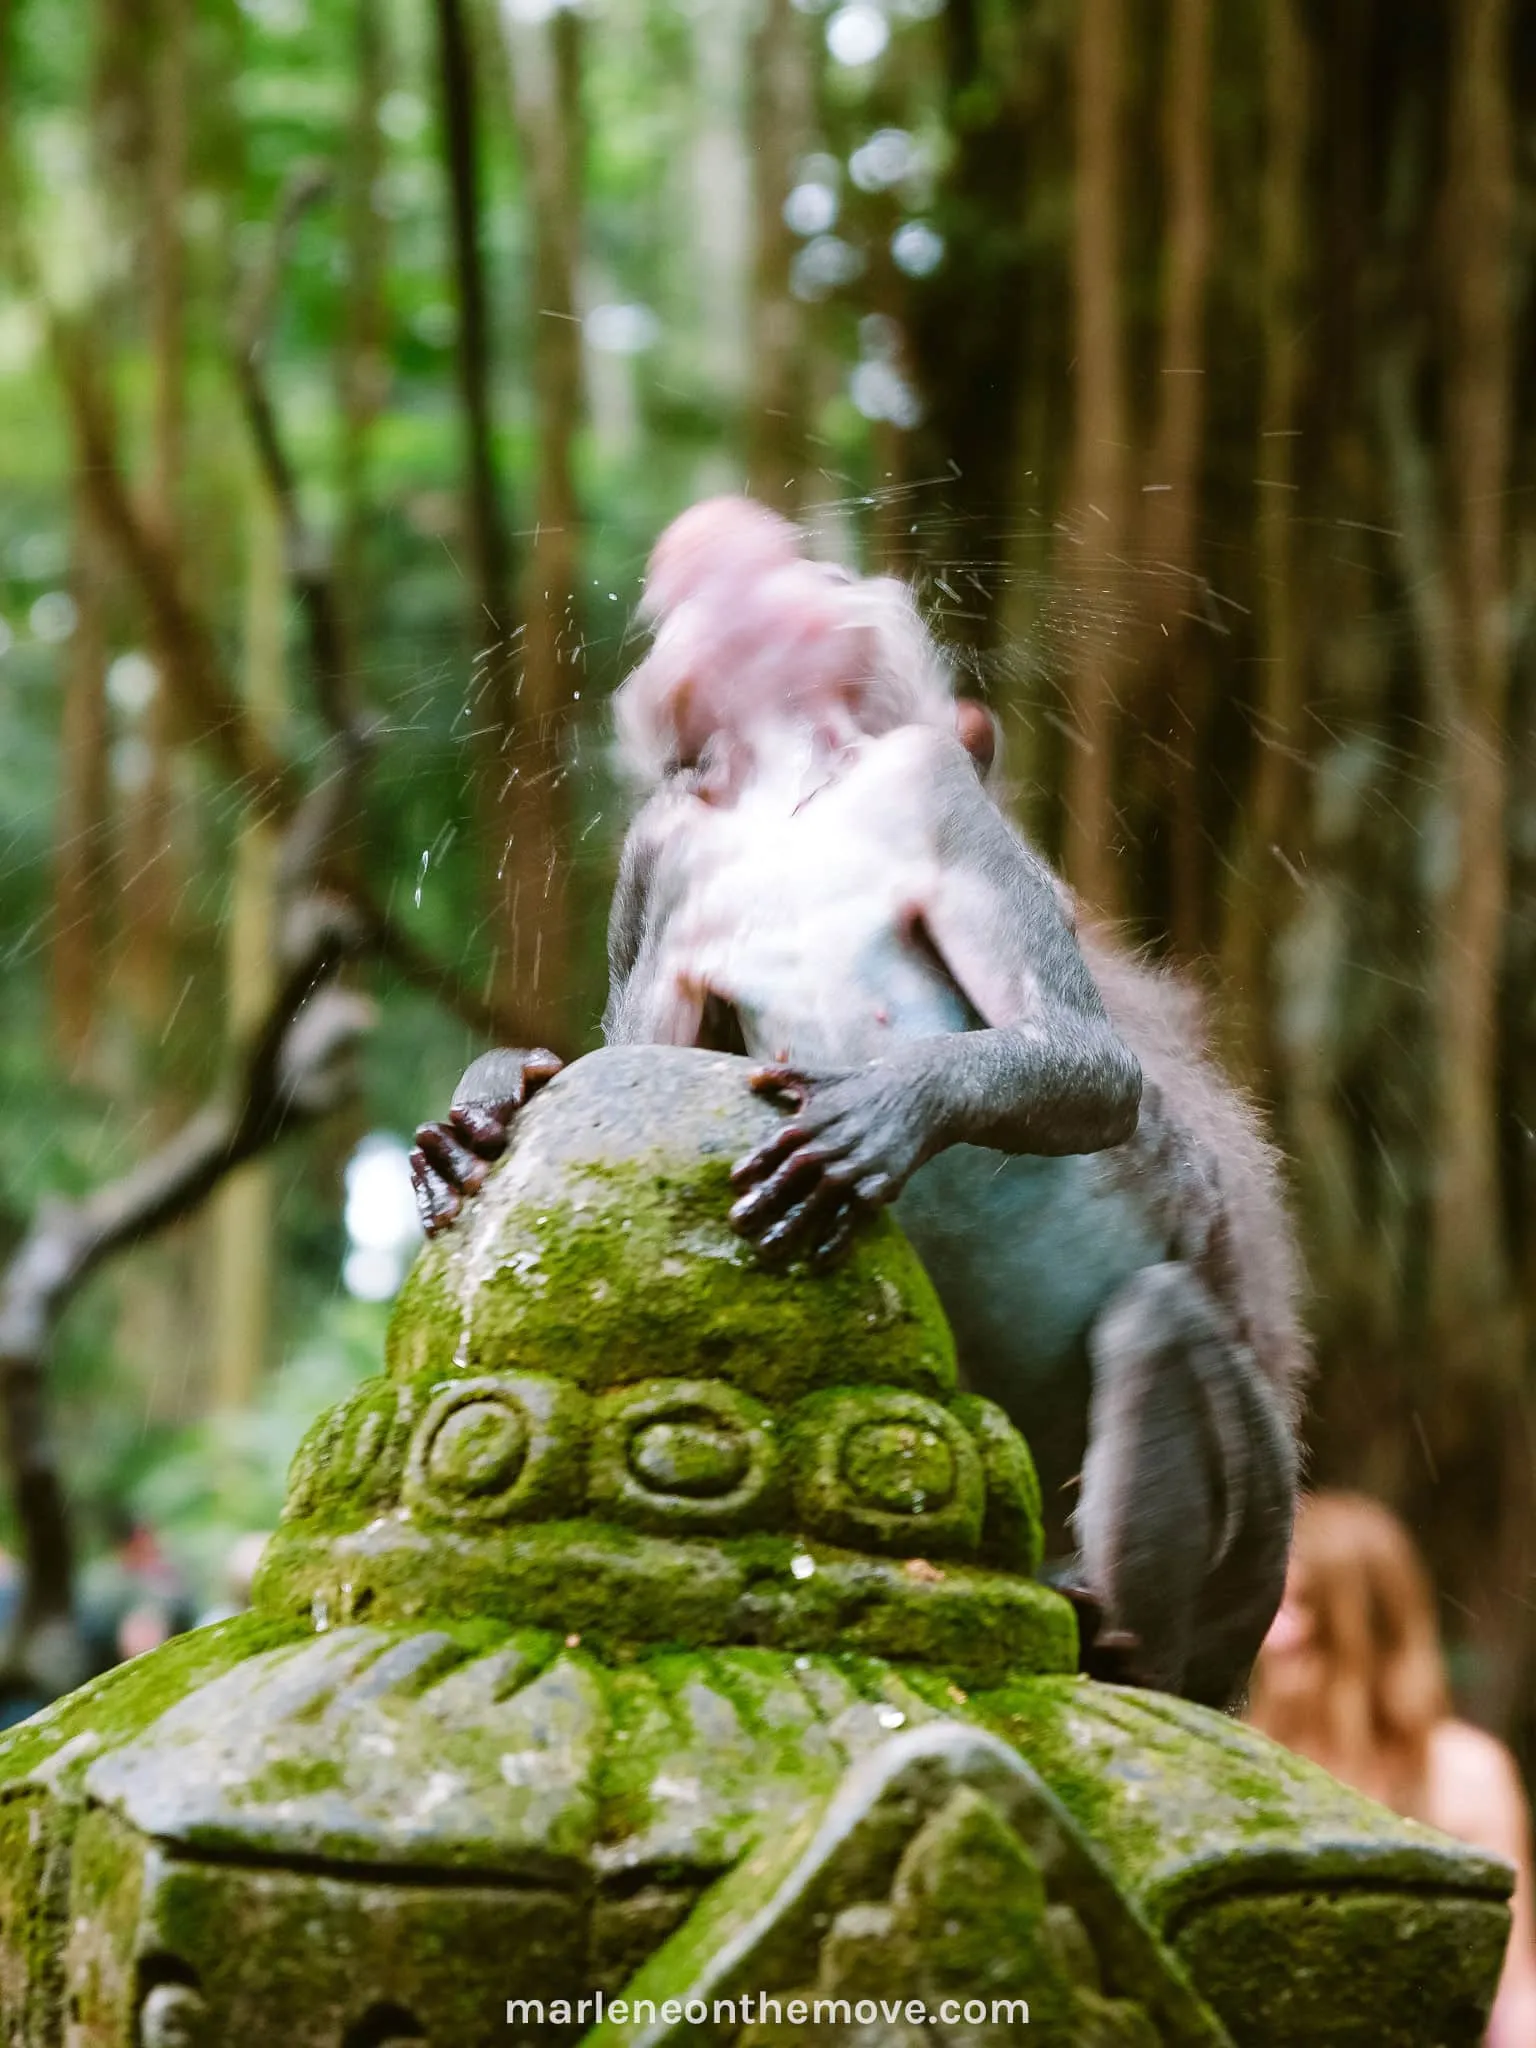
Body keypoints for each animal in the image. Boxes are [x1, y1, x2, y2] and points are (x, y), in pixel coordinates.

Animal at [412, 496, 1306, 1710]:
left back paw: (1131, 1651)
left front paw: (887, 1109)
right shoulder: (666, 847)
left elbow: (1095, 1067)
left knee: (1155, 1321)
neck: (784, 795)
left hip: (1257, 1546)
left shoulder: (928, 782)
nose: (713, 526)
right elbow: (635, 1067)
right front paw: (493, 1091)